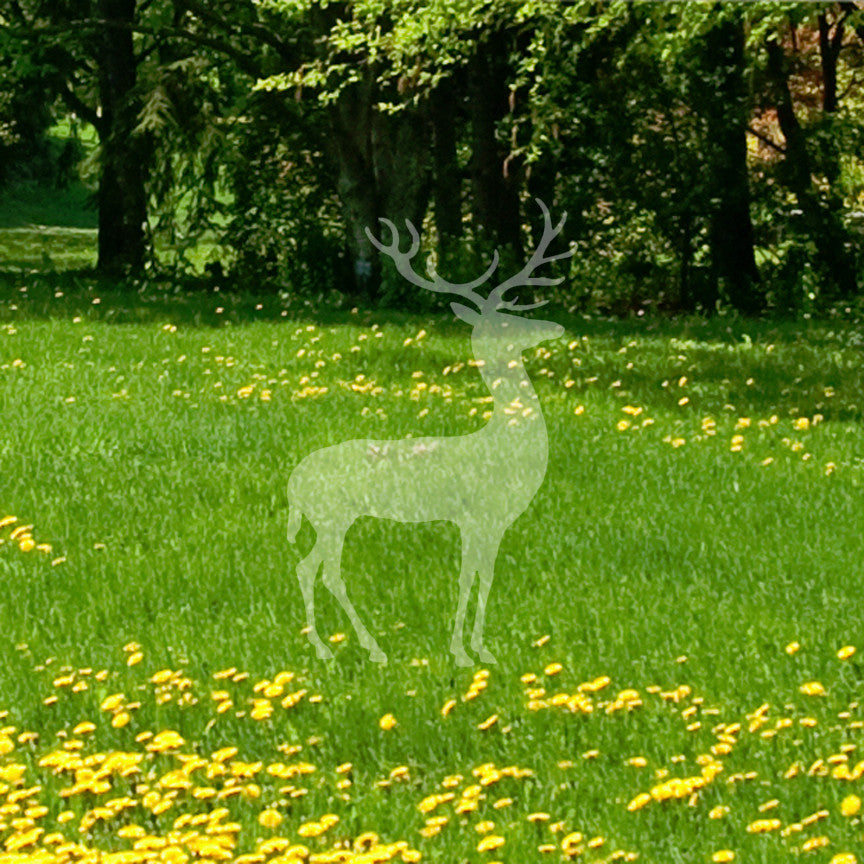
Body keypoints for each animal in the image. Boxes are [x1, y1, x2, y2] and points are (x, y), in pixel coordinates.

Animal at [286, 199, 572, 666]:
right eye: (507, 322)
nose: (556, 328)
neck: (506, 443)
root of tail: (293, 481)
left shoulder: (490, 522)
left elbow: (484, 576)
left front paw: (480, 649)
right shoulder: (478, 513)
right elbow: (467, 577)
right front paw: (462, 652)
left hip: (330, 517)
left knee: (311, 567)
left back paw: (335, 646)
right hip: (331, 514)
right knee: (321, 570)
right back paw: (357, 649)